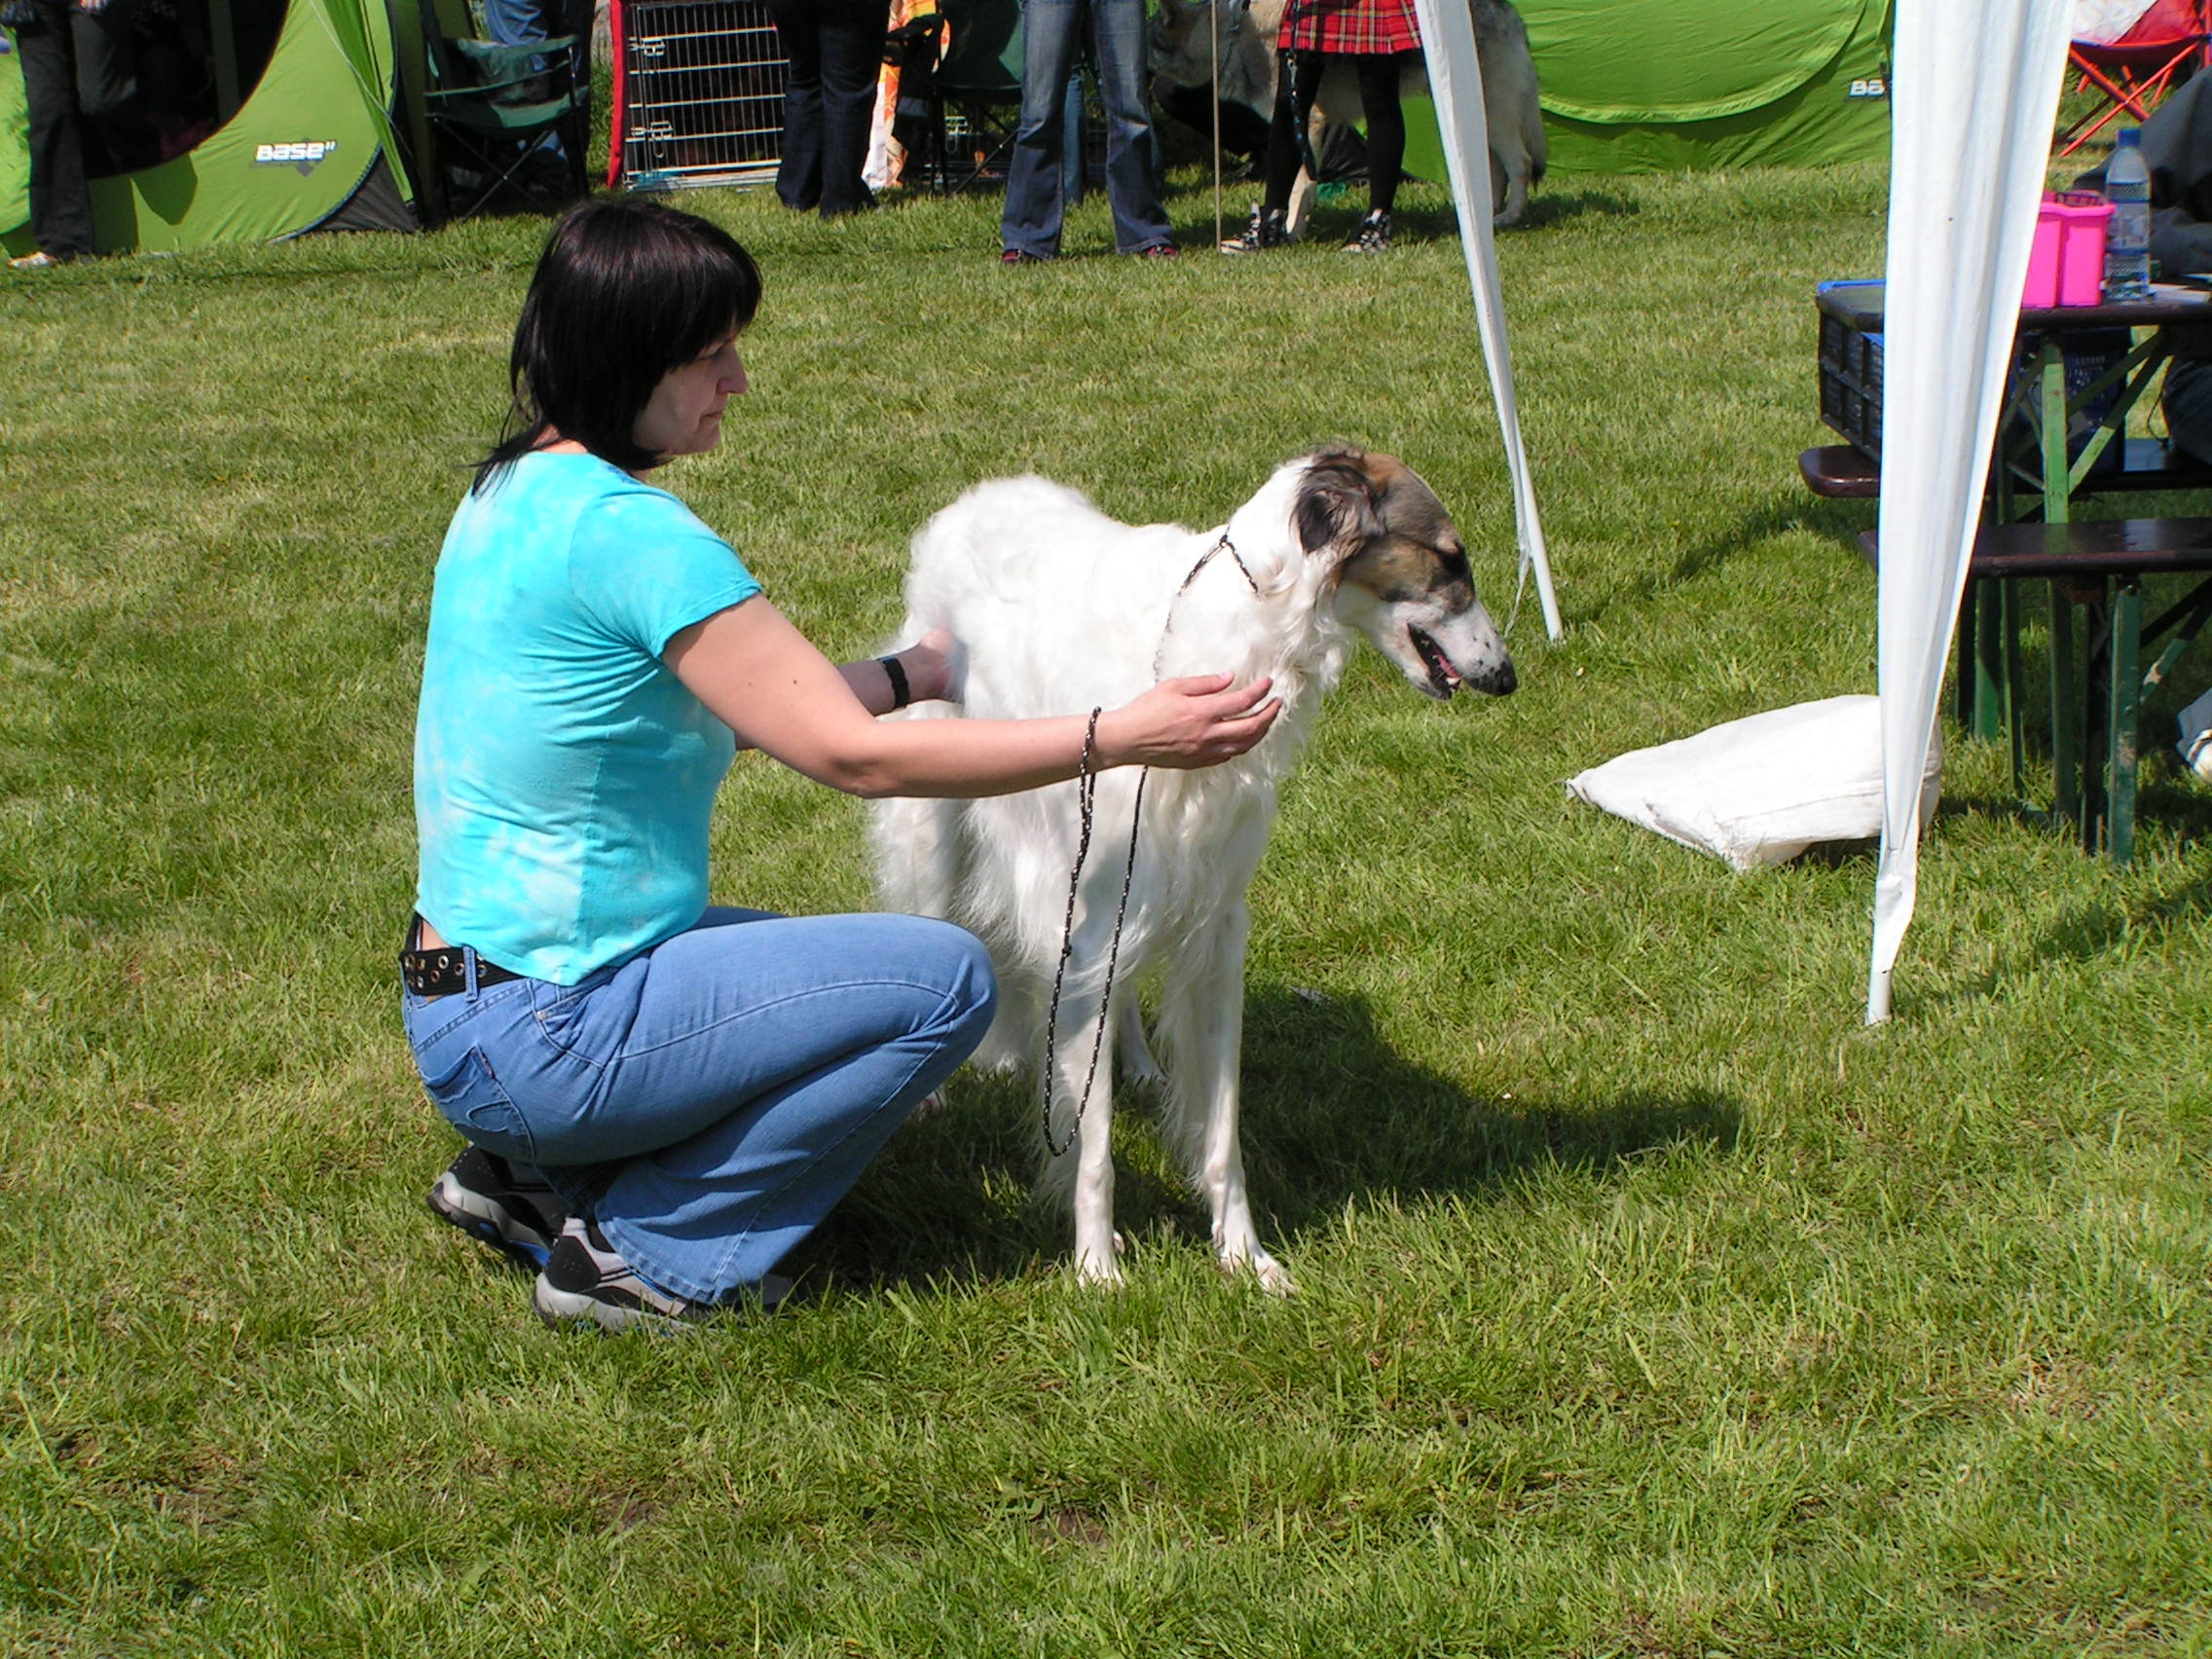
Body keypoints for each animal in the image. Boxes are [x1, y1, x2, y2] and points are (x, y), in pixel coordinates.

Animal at [871, 449, 1513, 1291]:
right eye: (1450, 558)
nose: (1506, 676)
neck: (1224, 635)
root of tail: (984, 494)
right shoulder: (1085, 920)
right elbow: (1094, 1143)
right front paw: (1097, 1269)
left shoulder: (1216, 922)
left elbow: (1221, 1129)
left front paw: (1246, 1256)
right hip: (939, 831)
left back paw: (1141, 1066)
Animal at [1150, 0, 1548, 231]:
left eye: (1148, 44)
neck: (1233, 36)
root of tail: (1511, 14)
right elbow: (1306, 187)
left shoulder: (1305, 122)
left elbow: (1295, 188)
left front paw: (1285, 231)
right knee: (1494, 170)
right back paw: (1483, 214)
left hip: (1497, 118)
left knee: (1520, 165)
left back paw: (1509, 217)